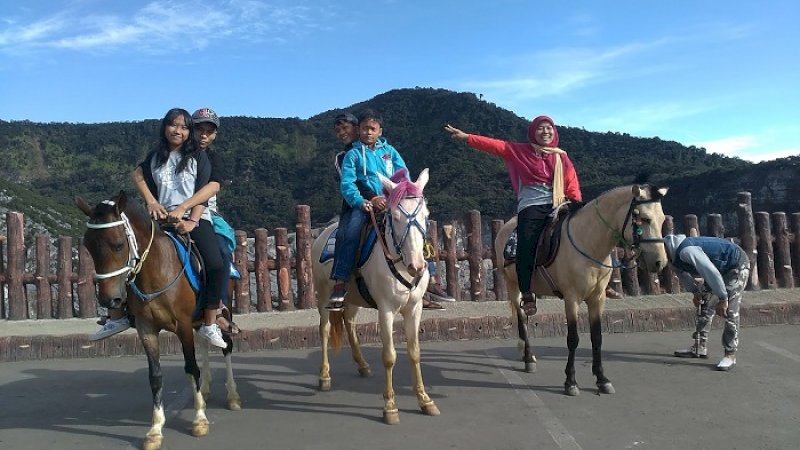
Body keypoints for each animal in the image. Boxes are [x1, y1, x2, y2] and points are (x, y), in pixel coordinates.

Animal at [77, 192, 242, 450]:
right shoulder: (146, 328)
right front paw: (154, 430)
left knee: (226, 346)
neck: (156, 271)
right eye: (89, 246)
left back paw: (232, 396)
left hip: (224, 309)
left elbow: (191, 367)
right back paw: (204, 391)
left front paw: (199, 420)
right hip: (198, 320)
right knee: (205, 342)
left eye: (118, 244)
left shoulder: (183, 325)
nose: (109, 299)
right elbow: (155, 376)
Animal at [312, 169, 440, 426]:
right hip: (323, 295)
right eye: (395, 217)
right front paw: (390, 407)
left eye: (426, 215)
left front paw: (425, 400)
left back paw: (362, 365)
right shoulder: (386, 310)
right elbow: (389, 356)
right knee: (325, 330)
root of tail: (322, 233)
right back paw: (324, 376)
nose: (417, 267)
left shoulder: (414, 308)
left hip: (352, 298)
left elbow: (414, 352)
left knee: (350, 323)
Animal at [496, 185, 664, 396]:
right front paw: (570, 382)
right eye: (645, 218)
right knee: (520, 320)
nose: (660, 262)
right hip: (512, 284)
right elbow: (573, 339)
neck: (589, 243)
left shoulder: (597, 299)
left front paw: (602, 379)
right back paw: (528, 358)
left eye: (663, 219)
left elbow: (597, 337)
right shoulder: (571, 298)